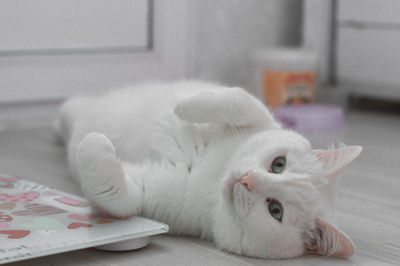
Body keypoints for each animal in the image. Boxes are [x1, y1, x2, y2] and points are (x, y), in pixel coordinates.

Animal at [57, 80, 362, 258]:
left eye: (276, 210)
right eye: (279, 164)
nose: (247, 179)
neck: (214, 174)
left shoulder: (146, 193)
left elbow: (112, 194)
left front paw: (96, 143)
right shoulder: (260, 118)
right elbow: (237, 100)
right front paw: (183, 106)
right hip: (89, 105)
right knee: (72, 106)